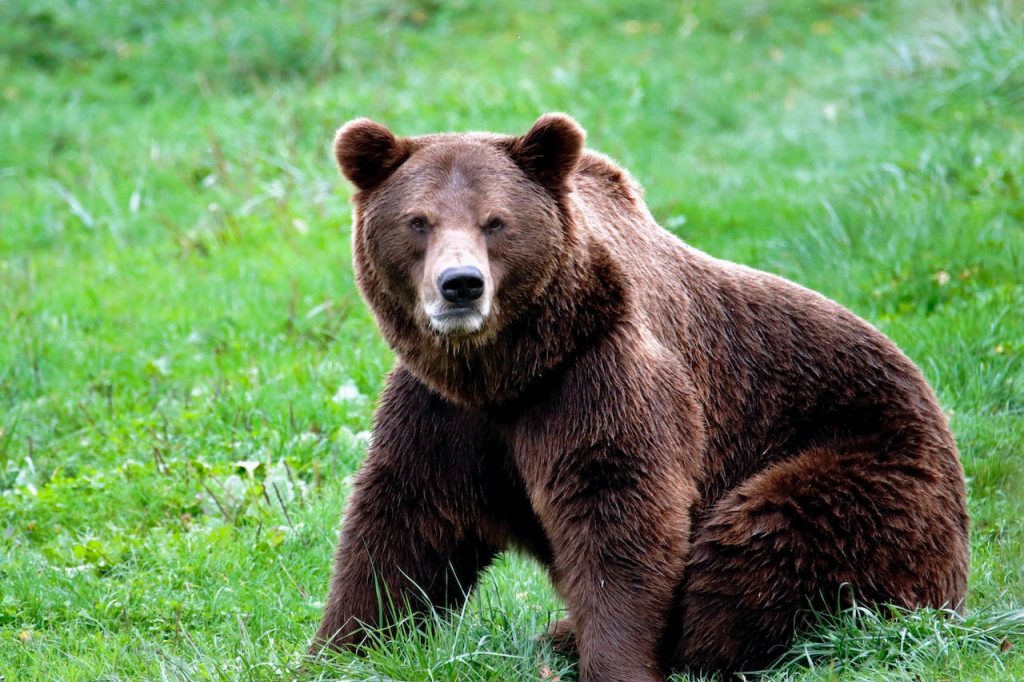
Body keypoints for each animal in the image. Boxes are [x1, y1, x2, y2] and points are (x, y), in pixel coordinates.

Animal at [310, 113, 969, 680]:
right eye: (418, 221)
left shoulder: (597, 375)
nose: (461, 286)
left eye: (495, 221)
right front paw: (339, 648)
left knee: (765, 543)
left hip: (868, 463)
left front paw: (615, 662)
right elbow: (404, 523)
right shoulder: (446, 412)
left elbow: (619, 512)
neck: (506, 371)